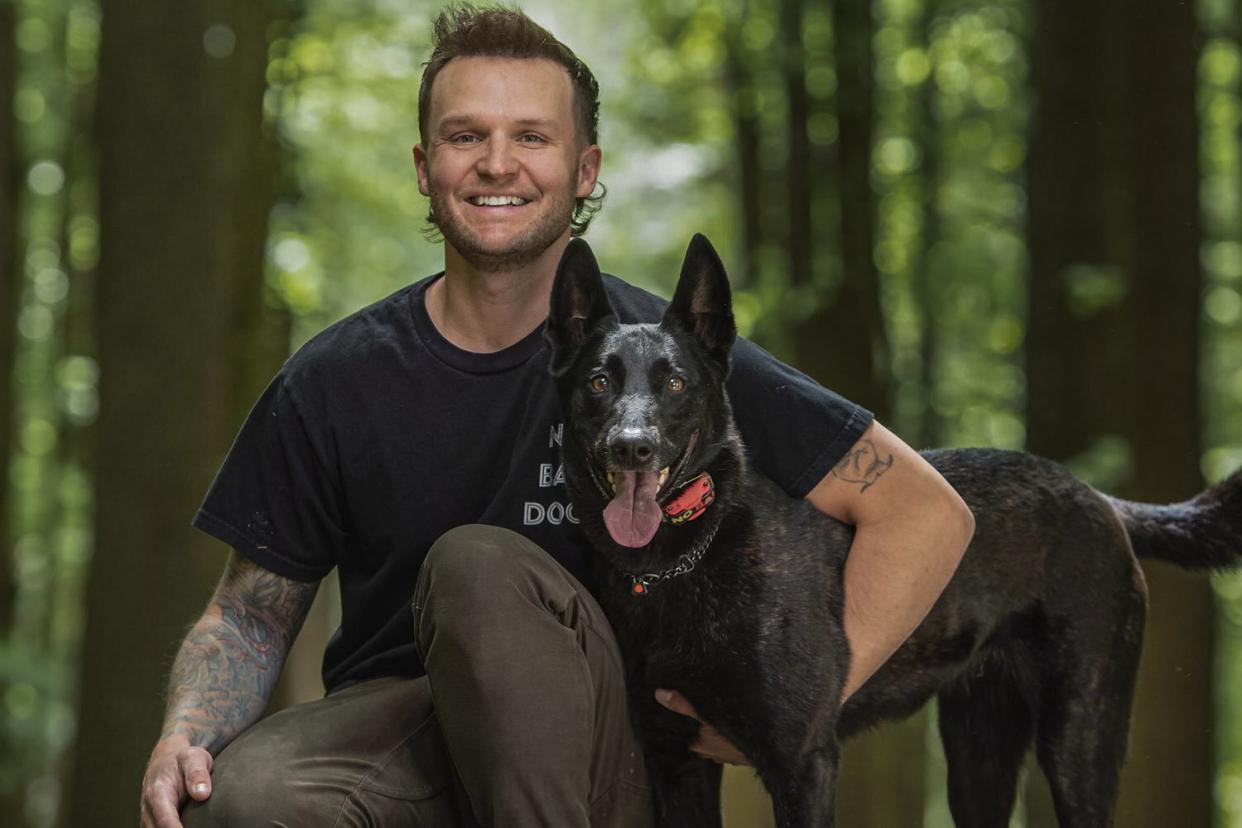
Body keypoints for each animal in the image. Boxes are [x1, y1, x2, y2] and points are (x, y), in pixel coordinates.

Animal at [543, 233, 1242, 828]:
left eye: (676, 381)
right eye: (599, 381)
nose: (632, 447)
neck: (680, 561)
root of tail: (1096, 496)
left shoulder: (802, 763)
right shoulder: (676, 762)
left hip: (1081, 737)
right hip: (979, 755)